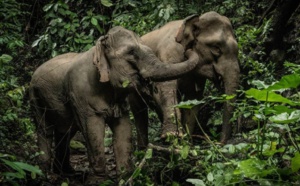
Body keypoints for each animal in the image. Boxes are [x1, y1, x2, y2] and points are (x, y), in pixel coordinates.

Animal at [29, 25, 199, 179]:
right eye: (131, 53)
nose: (186, 49)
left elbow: (124, 130)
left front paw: (126, 175)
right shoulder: (80, 96)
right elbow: (93, 131)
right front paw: (99, 179)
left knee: (65, 131)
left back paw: (67, 172)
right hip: (35, 96)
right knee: (45, 130)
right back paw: (44, 175)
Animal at [130, 11, 240, 148]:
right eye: (216, 48)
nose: (219, 143)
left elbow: (192, 98)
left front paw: (186, 143)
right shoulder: (168, 53)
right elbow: (165, 86)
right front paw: (172, 136)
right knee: (138, 110)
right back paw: (143, 148)